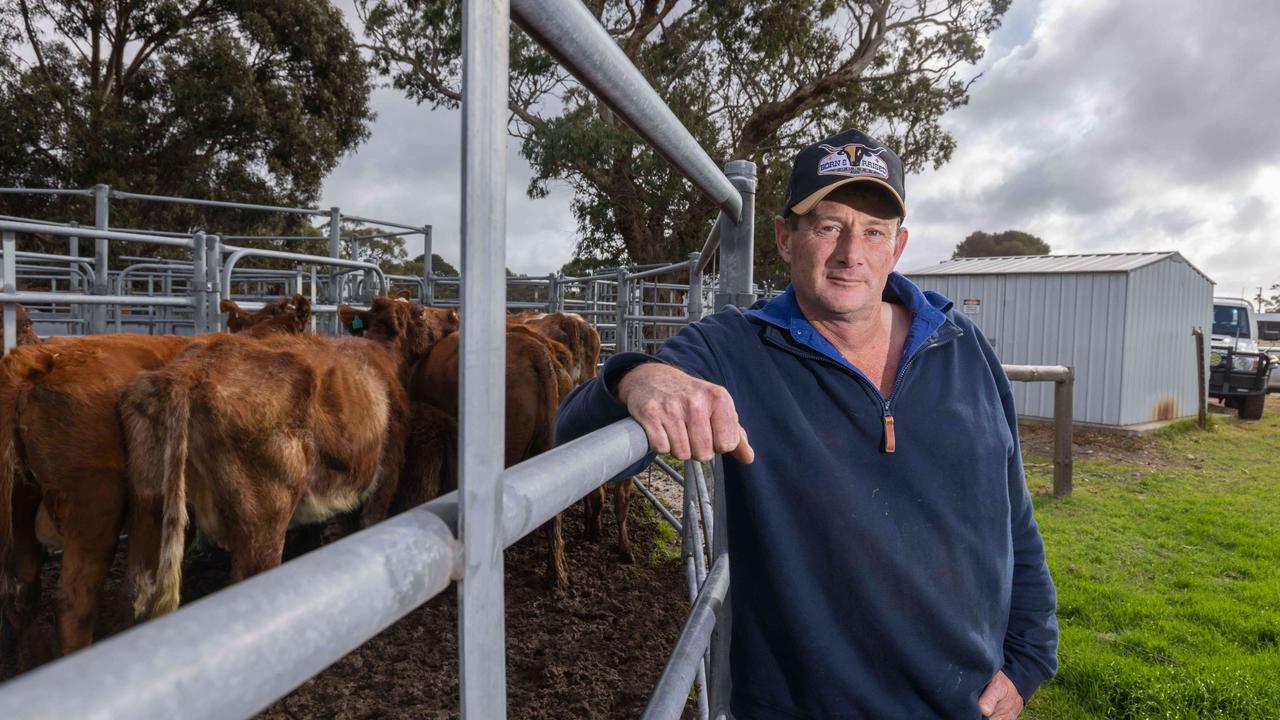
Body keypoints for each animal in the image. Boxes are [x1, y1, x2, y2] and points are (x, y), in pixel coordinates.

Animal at [120, 297, 450, 617]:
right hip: (265, 517)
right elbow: (370, 520)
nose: (453, 315)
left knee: (141, 593)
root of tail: (189, 371)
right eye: (419, 311)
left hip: (150, 507)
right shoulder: (387, 470)